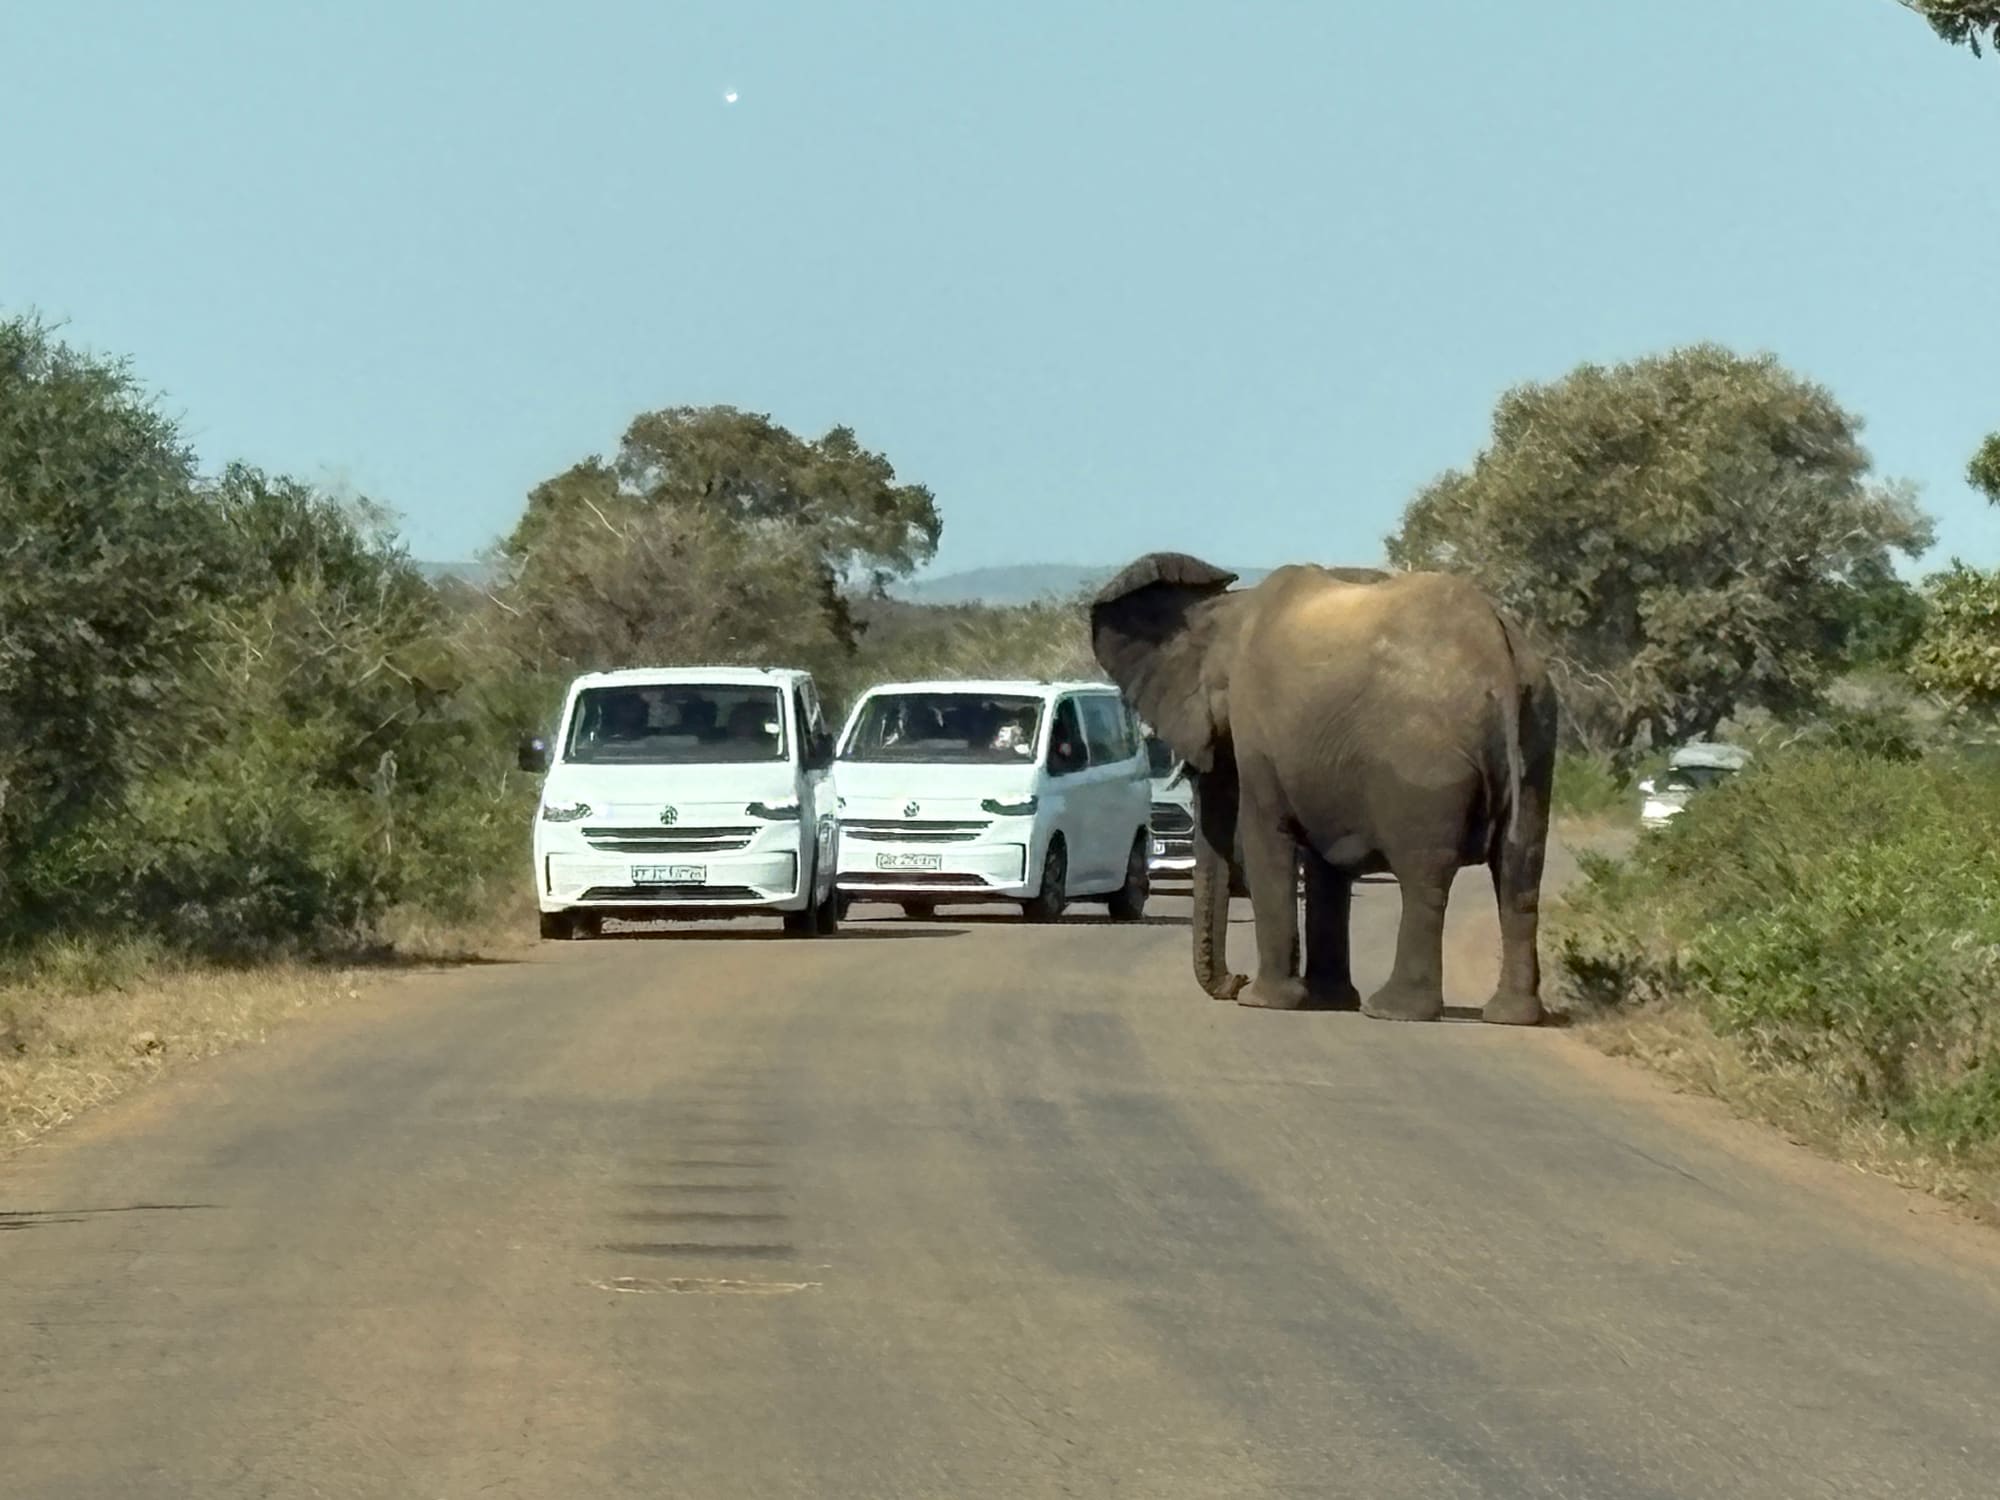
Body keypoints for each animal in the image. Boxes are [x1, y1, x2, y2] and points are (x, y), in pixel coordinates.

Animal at [1088, 553, 1557, 1023]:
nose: (1235, 980)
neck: (1232, 610)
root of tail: (1496, 649)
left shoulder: (1260, 736)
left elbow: (1265, 839)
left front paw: (1264, 1001)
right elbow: (1323, 864)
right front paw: (1328, 999)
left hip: (1426, 762)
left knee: (1424, 875)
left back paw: (1392, 1010)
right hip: (1536, 740)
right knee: (1519, 871)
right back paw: (1511, 1015)